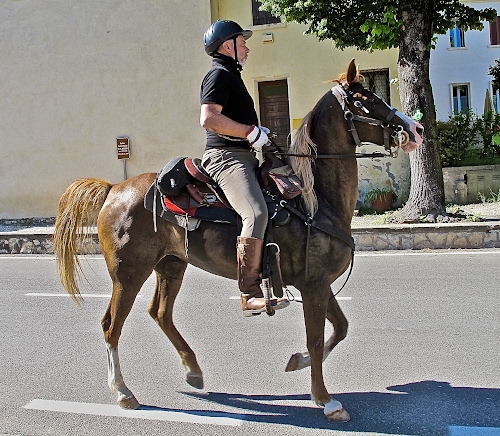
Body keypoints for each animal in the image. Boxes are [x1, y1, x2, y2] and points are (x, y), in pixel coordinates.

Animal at [54, 59, 423, 422]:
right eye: (366, 99)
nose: (417, 130)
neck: (313, 199)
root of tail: (114, 189)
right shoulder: (314, 285)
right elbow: (317, 340)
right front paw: (325, 400)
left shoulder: (318, 283)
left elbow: (340, 328)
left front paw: (297, 362)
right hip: (128, 274)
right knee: (111, 326)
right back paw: (123, 392)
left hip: (171, 266)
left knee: (160, 313)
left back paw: (193, 370)